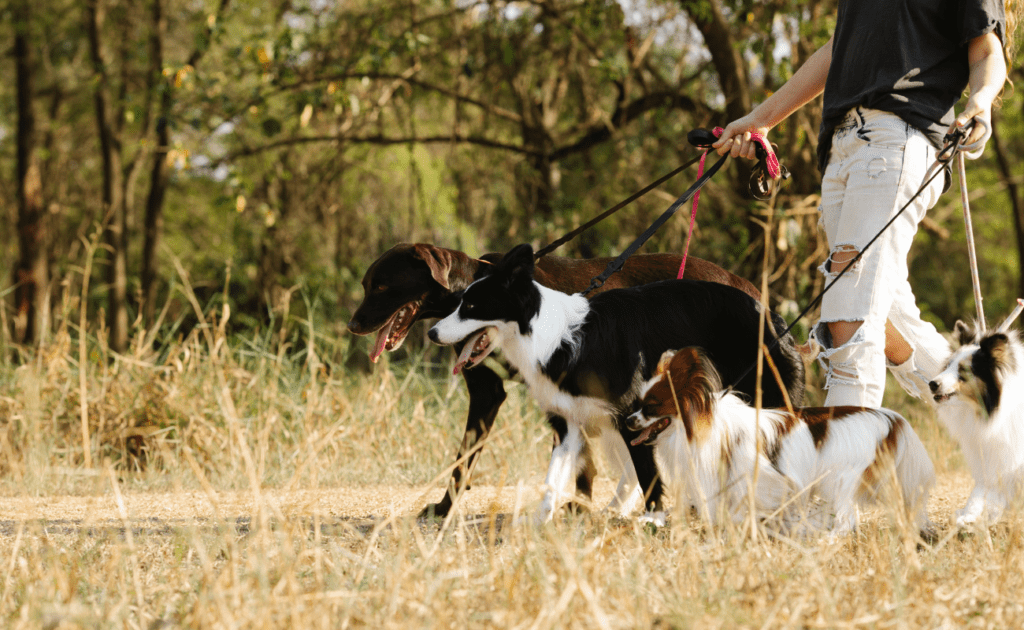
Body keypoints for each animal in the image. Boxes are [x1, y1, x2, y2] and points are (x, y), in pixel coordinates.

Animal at [622, 348, 937, 540]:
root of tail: (889, 418)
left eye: (651, 407)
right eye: (637, 405)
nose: (628, 421)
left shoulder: (768, 479)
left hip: (840, 478)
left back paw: (828, 539)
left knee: (845, 518)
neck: (703, 425)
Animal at [929, 319, 1024, 528]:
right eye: (948, 365)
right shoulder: (990, 454)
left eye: (964, 370)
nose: (932, 384)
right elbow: (983, 487)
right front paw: (968, 514)